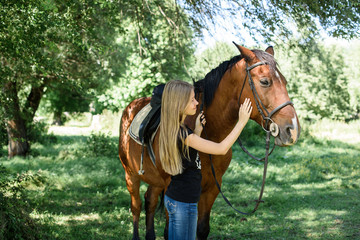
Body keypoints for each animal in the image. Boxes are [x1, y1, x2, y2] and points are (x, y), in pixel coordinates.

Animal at [119, 43, 300, 240]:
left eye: (285, 82)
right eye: (265, 81)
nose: (292, 130)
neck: (210, 135)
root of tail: (131, 107)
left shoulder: (212, 187)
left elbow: (202, 229)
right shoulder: (170, 187)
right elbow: (169, 232)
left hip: (154, 181)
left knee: (150, 200)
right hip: (131, 175)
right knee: (136, 207)